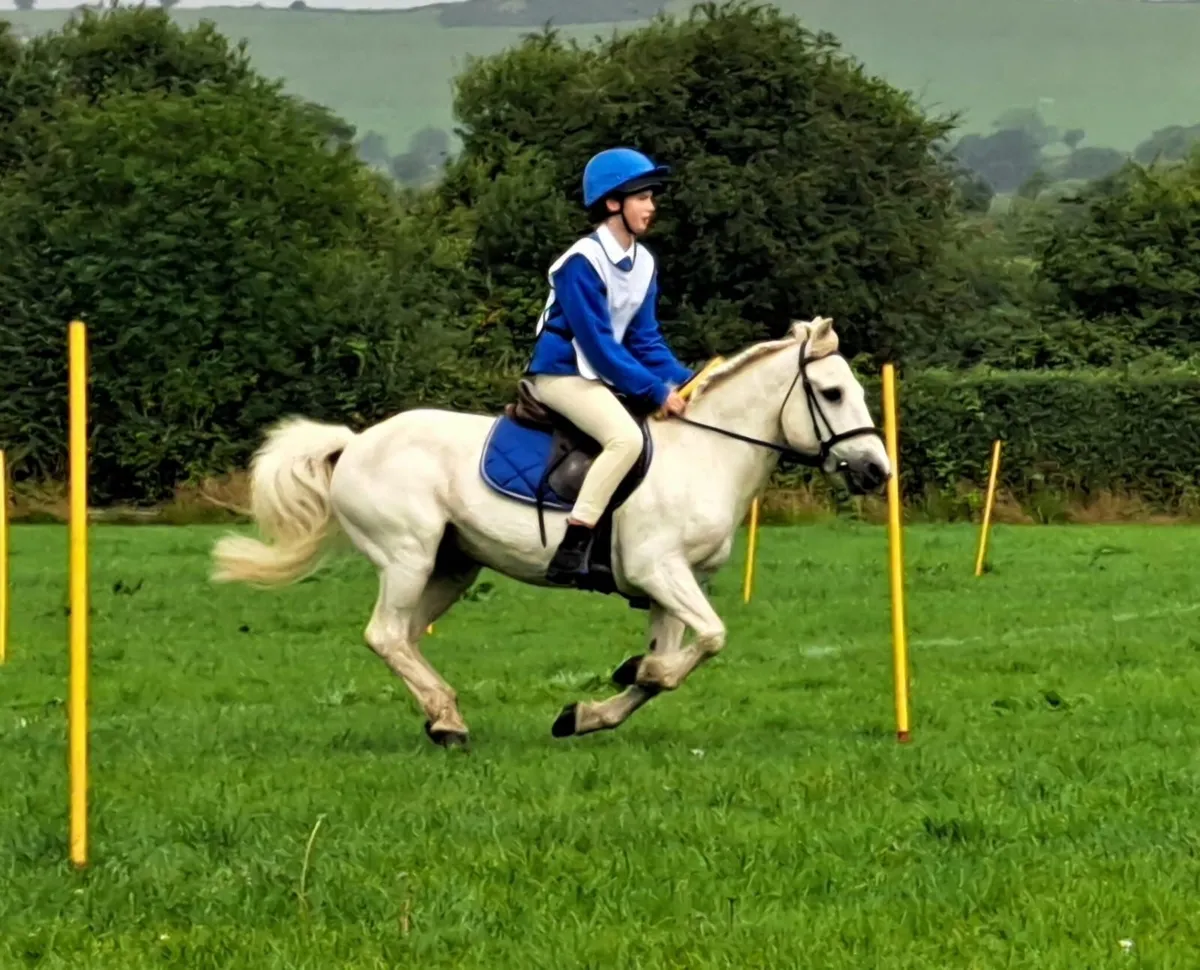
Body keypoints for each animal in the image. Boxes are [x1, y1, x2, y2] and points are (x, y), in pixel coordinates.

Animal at [210, 316, 890, 745]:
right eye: (832, 392)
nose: (877, 471)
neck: (705, 454)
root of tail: (352, 444)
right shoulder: (659, 571)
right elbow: (706, 644)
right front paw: (631, 672)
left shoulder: (673, 586)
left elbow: (675, 662)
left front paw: (588, 712)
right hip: (408, 555)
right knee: (385, 634)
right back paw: (449, 724)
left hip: (453, 565)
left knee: (403, 637)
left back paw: (443, 716)